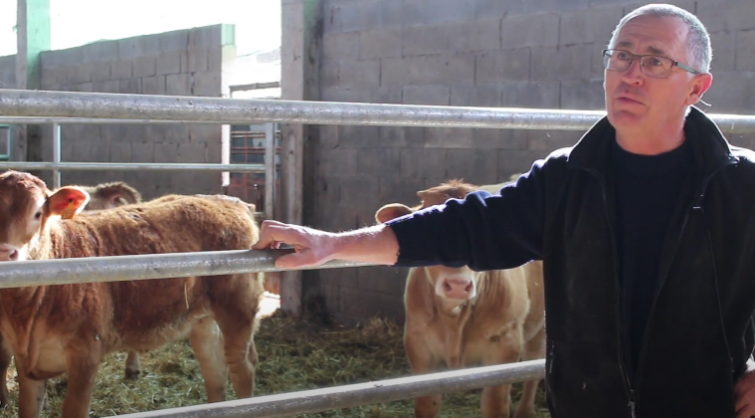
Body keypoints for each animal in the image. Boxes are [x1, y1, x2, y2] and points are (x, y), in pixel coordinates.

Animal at [0, 170, 264, 418]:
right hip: (202, 320)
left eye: (37, 213)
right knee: (215, 370)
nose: (6, 253)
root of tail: (229, 201)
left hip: (238, 307)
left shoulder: (86, 355)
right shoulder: (25, 364)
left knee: (242, 366)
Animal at [374, 178, 545, 418]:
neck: (454, 319)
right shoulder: (417, 344)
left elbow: (495, 404)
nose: (457, 286)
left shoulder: (506, 344)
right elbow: (428, 403)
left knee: (532, 363)